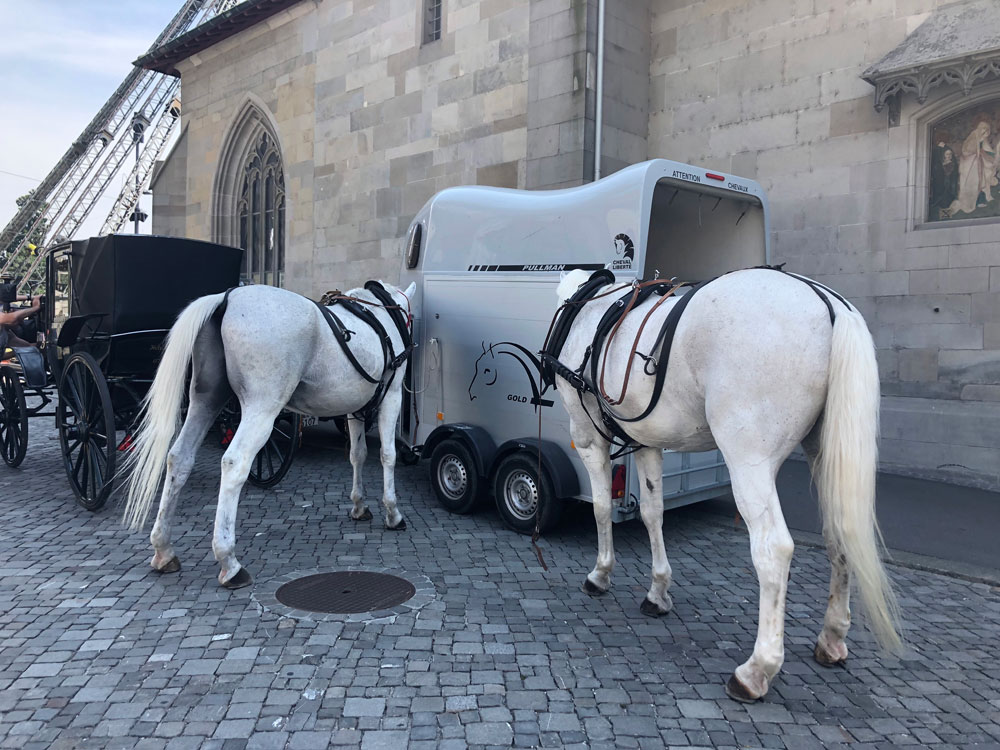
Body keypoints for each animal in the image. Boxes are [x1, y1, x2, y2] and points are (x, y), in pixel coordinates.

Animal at [124, 282, 414, 592]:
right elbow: (387, 455)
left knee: (180, 458)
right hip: (262, 407)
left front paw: (359, 505)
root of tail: (226, 298)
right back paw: (229, 561)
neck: (379, 314)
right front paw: (393, 513)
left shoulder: (355, 407)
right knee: (234, 463)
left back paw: (163, 549)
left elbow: (357, 455)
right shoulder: (391, 396)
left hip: (206, 400)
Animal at [552, 270, 904, 704]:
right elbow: (653, 514)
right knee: (839, 534)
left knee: (774, 550)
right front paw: (658, 591)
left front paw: (600, 574)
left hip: (748, 461)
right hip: (825, 453)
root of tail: (829, 303)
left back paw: (757, 670)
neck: (592, 309)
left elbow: (601, 508)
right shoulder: (649, 442)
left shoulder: (588, 439)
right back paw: (832, 637)